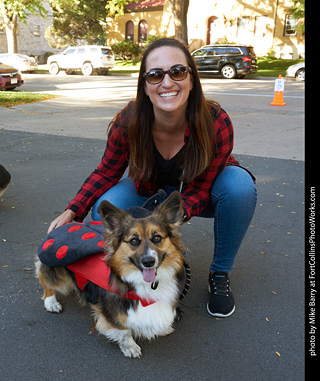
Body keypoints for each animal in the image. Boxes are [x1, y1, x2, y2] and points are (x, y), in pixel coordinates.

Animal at [36, 191, 189, 358]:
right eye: (134, 241)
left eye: (157, 238)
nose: (148, 261)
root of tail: (64, 225)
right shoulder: (113, 311)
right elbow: (124, 330)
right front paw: (130, 347)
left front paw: (163, 329)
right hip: (56, 269)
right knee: (47, 283)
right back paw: (51, 303)